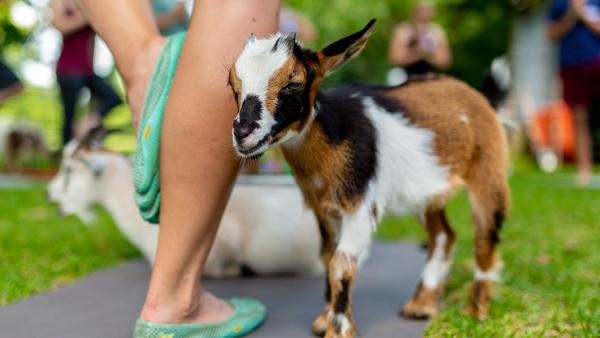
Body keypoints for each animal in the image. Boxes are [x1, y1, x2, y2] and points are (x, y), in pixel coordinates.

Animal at [230, 20, 510, 338]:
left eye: (294, 82)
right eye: (232, 84)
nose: (242, 133)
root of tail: (481, 98)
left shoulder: (360, 206)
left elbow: (341, 263)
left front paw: (339, 330)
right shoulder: (323, 210)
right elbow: (327, 257)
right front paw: (325, 319)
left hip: (488, 170)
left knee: (485, 236)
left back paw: (476, 311)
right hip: (427, 192)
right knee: (443, 234)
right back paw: (421, 305)